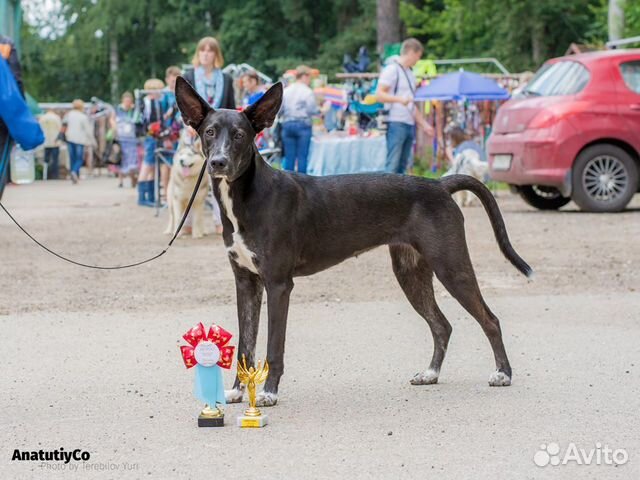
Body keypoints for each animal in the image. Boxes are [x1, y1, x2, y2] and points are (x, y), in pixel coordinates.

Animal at [174, 77, 528, 406]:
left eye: (239, 135)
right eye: (209, 132)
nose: (218, 162)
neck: (248, 198)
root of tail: (439, 185)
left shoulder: (278, 284)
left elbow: (274, 346)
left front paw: (269, 393)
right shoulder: (246, 283)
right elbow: (245, 344)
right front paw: (236, 391)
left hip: (452, 267)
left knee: (490, 319)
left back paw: (503, 373)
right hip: (410, 273)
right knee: (441, 325)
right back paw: (431, 373)